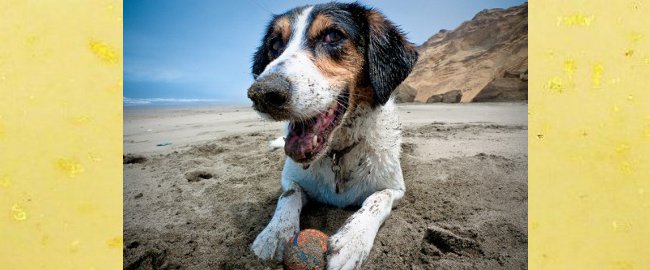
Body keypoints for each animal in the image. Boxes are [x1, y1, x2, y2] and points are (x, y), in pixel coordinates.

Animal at [246, 1, 418, 268]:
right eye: (274, 44)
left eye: (333, 36)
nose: (262, 93)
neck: (337, 153)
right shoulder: (290, 178)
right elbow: (288, 195)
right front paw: (275, 233)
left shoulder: (394, 188)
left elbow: (375, 201)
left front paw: (352, 241)